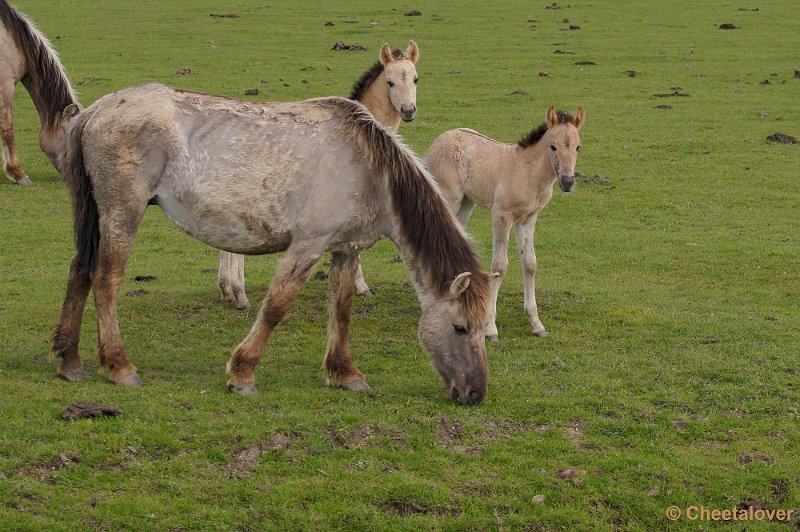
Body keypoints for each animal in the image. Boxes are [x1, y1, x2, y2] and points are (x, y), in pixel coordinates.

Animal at [53, 84, 490, 404]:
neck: (368, 168)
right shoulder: (308, 246)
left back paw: (69, 360)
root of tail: (95, 112)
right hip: (122, 211)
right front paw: (243, 373)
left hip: (97, 214)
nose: (475, 393)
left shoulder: (346, 250)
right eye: (461, 327)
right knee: (105, 279)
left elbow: (342, 310)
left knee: (80, 269)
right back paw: (119, 366)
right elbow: (276, 307)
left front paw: (345, 373)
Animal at [216, 40, 422, 308]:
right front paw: (360, 286)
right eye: (390, 82)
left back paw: (228, 290)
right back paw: (240, 294)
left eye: (416, 79)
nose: (408, 110)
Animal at [424, 107, 588, 340]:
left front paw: (537, 324)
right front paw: (491, 328)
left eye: (578, 147)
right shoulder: (501, 216)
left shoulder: (527, 219)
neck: (529, 173)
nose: (567, 182)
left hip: (467, 203)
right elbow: (500, 266)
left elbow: (530, 264)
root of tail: (440, 139)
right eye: (553, 146)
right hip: (450, 198)